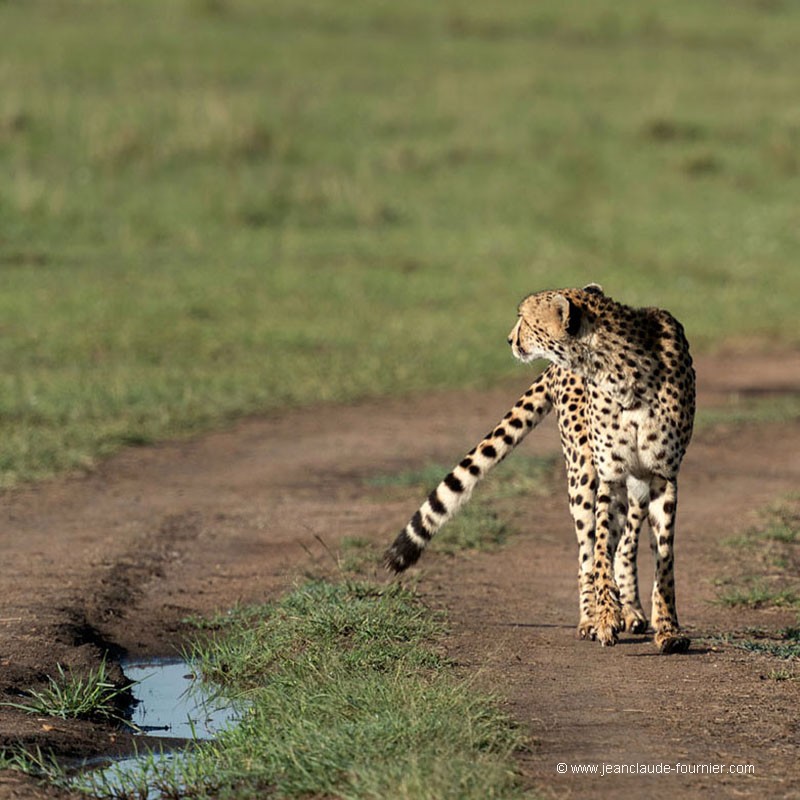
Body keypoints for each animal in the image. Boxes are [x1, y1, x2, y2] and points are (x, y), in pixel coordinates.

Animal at [386, 284, 692, 652]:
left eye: (527, 320)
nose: (508, 339)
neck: (620, 372)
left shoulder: (662, 475)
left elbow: (664, 559)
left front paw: (668, 629)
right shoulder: (610, 475)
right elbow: (601, 548)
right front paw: (605, 618)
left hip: (636, 483)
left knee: (627, 543)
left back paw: (631, 610)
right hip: (582, 471)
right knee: (588, 548)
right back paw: (590, 618)